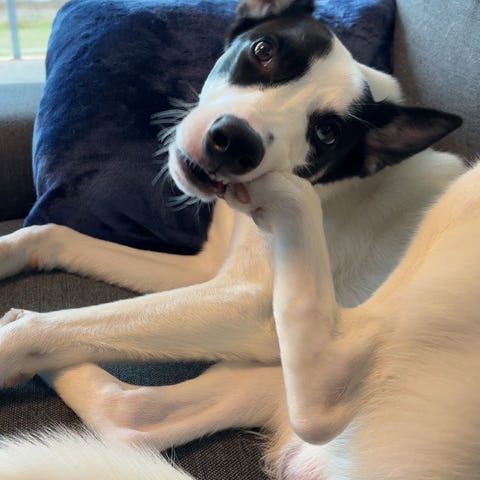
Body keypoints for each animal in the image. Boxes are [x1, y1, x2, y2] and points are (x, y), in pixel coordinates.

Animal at [1, 0, 477, 478]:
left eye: (327, 134)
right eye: (263, 50)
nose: (234, 144)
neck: (336, 187)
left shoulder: (243, 299)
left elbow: (57, 325)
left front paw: (12, 346)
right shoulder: (204, 272)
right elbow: (53, 234)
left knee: (326, 387)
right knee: (133, 415)